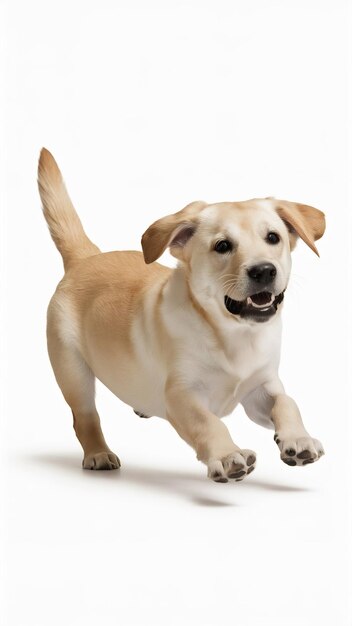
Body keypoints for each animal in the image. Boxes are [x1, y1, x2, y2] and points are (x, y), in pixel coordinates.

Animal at [37, 149, 326, 480]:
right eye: (222, 246)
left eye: (273, 238)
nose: (264, 270)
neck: (233, 334)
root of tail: (86, 257)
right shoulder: (181, 395)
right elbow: (209, 422)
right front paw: (228, 456)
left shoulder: (261, 388)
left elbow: (287, 402)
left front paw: (298, 438)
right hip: (72, 370)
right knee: (85, 417)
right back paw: (98, 452)